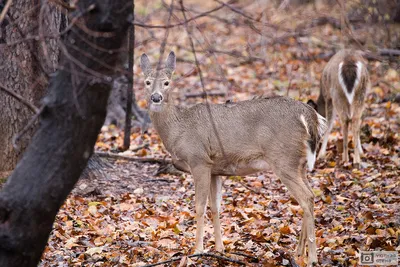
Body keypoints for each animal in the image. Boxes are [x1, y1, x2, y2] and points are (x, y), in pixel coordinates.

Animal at [139, 51, 326, 266]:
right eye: (147, 82)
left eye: (167, 82)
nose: (156, 97)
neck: (178, 129)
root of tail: (310, 114)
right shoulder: (214, 168)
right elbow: (215, 207)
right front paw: (220, 248)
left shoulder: (199, 160)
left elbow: (199, 206)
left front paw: (198, 249)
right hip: (299, 163)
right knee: (310, 196)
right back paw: (298, 253)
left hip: (283, 159)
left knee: (306, 198)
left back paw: (312, 258)